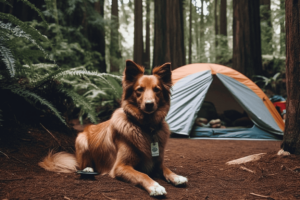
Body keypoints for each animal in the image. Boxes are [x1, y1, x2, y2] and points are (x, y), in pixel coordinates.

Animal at [38, 60, 186, 196]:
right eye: (139, 89)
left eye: (157, 90)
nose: (149, 104)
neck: (145, 127)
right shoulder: (120, 166)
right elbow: (142, 175)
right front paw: (155, 187)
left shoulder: (157, 162)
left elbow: (166, 168)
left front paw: (177, 177)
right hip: (82, 140)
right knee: (81, 164)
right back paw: (88, 169)